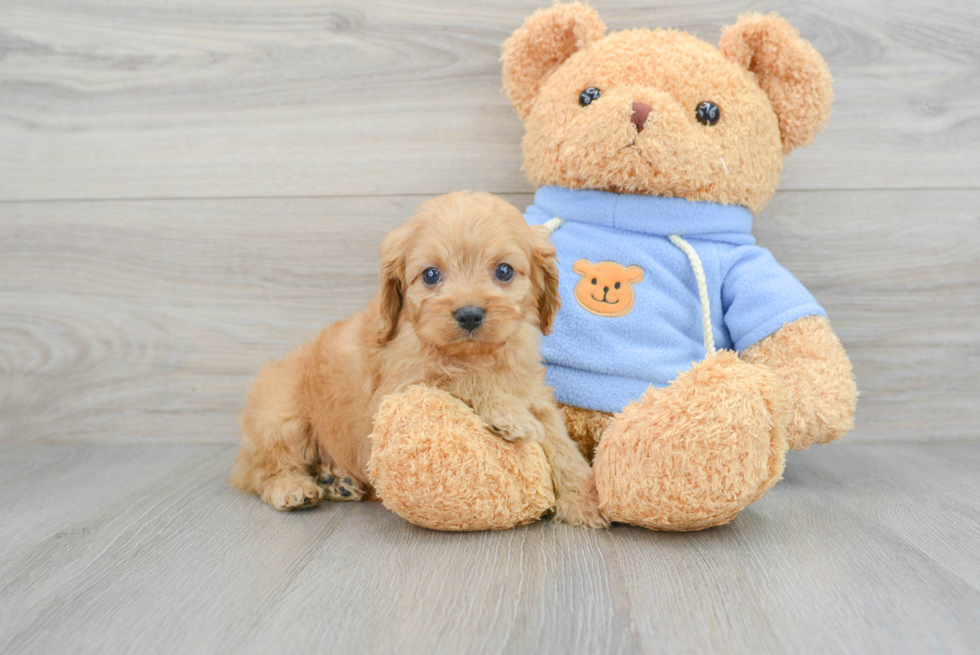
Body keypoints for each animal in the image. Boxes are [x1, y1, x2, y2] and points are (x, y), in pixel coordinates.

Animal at [231, 190, 608, 528]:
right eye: (430, 275)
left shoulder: (533, 391)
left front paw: (584, 498)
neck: (477, 354)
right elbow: (460, 376)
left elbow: (560, 442)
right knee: (260, 468)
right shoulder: (398, 389)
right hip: (281, 416)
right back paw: (292, 487)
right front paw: (511, 415)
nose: (469, 315)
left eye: (504, 271)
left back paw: (335, 481)